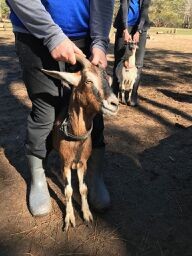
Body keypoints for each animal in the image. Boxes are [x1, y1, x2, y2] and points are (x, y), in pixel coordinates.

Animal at [42, 55, 118, 231]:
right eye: (88, 80)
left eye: (109, 79)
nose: (114, 104)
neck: (76, 137)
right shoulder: (65, 163)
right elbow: (68, 190)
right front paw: (69, 219)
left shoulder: (83, 163)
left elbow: (83, 189)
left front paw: (87, 215)